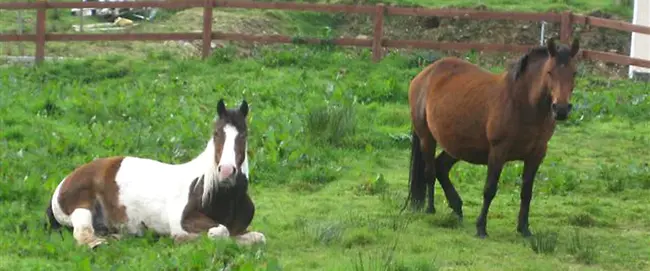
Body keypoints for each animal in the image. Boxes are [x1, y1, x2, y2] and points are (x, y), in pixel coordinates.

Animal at [45, 99, 266, 249]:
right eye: (217, 133)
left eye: (243, 134)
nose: (226, 171)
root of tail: (64, 182)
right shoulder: (184, 221)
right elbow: (220, 231)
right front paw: (182, 239)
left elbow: (255, 237)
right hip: (81, 208)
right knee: (84, 234)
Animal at [408, 37, 580, 238]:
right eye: (550, 72)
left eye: (574, 73)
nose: (561, 109)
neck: (522, 103)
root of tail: (424, 74)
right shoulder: (498, 151)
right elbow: (489, 189)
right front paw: (481, 228)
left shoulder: (536, 154)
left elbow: (526, 192)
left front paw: (524, 228)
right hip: (427, 137)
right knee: (430, 172)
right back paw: (431, 209)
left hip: (458, 145)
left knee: (441, 167)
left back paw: (457, 208)